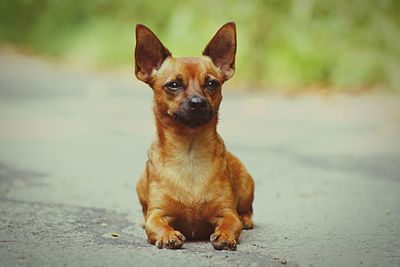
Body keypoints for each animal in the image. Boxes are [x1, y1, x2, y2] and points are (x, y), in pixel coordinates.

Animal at [134, 22, 253, 251]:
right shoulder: (157, 214)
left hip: (246, 186)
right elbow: (156, 224)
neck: (189, 152)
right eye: (173, 85)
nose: (198, 103)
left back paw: (247, 219)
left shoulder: (227, 212)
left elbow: (231, 222)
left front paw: (225, 235)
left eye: (212, 84)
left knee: (246, 210)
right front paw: (168, 235)